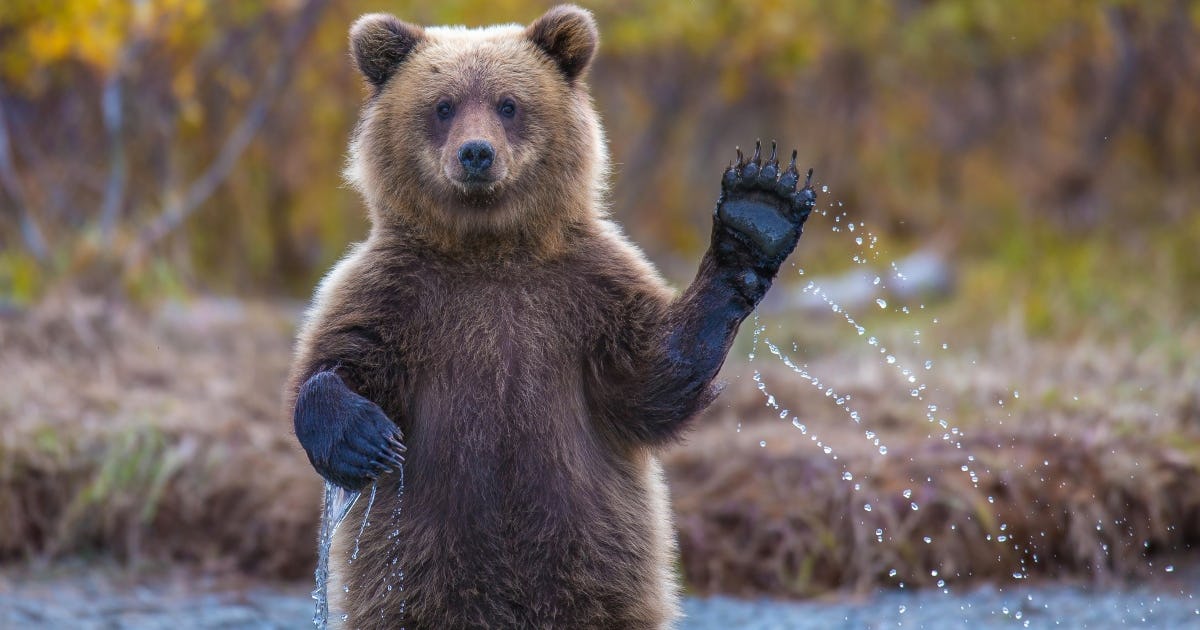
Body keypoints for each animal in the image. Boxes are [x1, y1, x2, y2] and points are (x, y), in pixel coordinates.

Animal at [286, 5, 815, 628]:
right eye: (443, 105)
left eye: (508, 104)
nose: (476, 153)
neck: (489, 249)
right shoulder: (396, 292)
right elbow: (338, 358)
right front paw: (363, 437)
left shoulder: (585, 292)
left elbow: (650, 379)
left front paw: (757, 213)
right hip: (414, 573)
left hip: (597, 565)